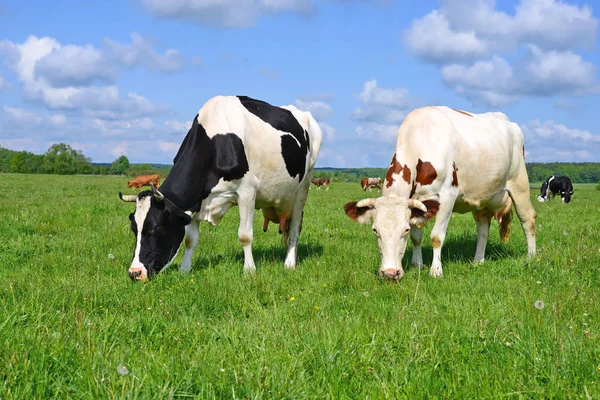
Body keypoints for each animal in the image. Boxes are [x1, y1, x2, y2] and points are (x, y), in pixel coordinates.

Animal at [119, 95, 322, 280]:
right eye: (134, 229)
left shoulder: (247, 191)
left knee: (295, 228)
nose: (134, 273)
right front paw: (184, 269)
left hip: (304, 185)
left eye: (155, 229)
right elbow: (190, 239)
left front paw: (249, 271)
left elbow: (245, 235)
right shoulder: (194, 200)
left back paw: (289, 263)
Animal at [344, 107, 536, 282]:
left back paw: (531, 257)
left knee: (528, 219)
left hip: (520, 184)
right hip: (481, 197)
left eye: (404, 230)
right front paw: (417, 265)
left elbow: (436, 237)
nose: (390, 273)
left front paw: (436, 271)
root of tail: (504, 118)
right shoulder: (415, 203)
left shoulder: (447, 197)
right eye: (375, 230)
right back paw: (478, 261)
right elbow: (417, 238)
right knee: (483, 229)